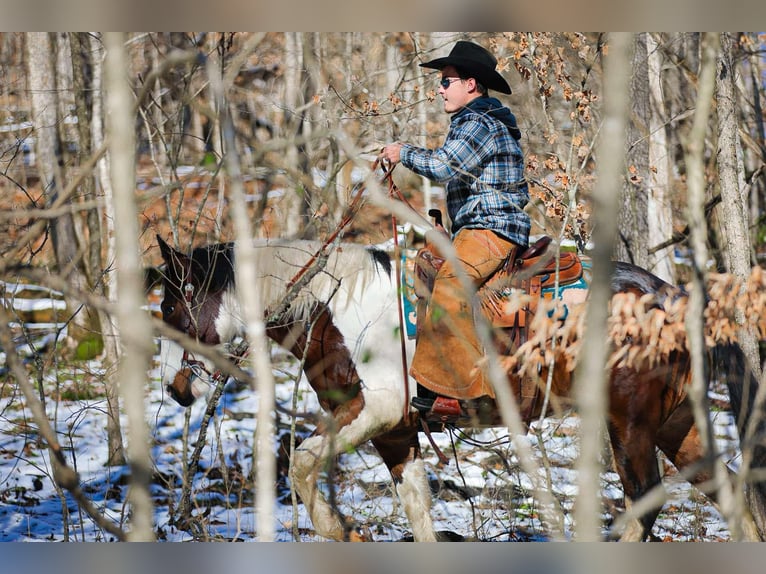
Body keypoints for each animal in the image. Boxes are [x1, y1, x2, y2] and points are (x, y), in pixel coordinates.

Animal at [156, 235, 766, 544]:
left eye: (172, 306)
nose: (178, 390)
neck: (340, 305)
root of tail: (672, 296)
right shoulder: (395, 433)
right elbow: (419, 511)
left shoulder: (377, 409)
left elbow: (302, 464)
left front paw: (341, 530)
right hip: (677, 424)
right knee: (733, 498)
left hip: (632, 427)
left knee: (644, 502)